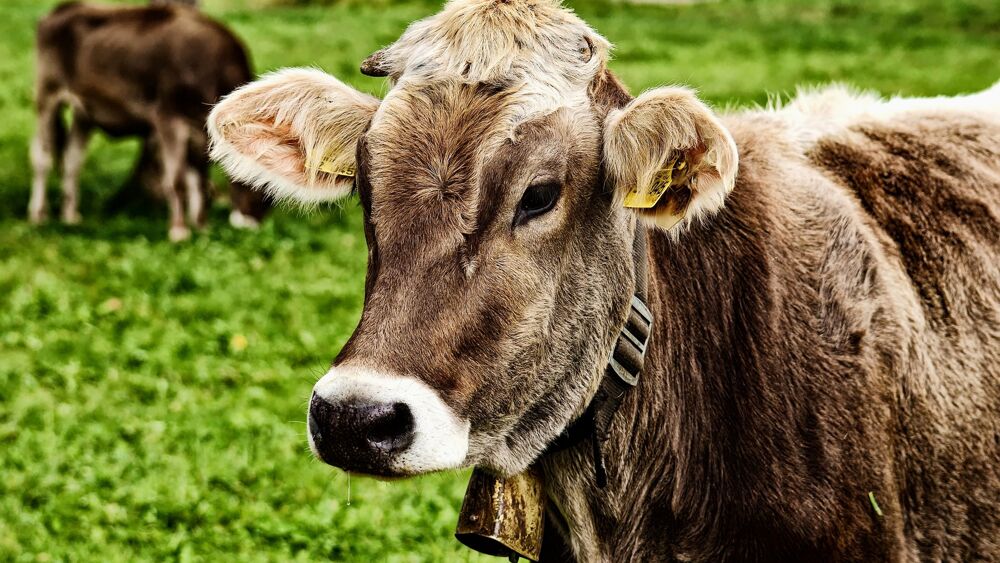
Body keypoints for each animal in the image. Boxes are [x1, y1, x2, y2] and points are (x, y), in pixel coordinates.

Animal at [29, 2, 269, 241]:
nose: (253, 223)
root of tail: (63, 9)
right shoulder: (168, 119)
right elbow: (177, 180)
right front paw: (179, 231)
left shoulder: (199, 133)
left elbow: (199, 181)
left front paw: (201, 228)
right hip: (48, 95)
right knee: (43, 156)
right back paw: (38, 215)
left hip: (84, 112)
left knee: (72, 159)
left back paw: (70, 215)